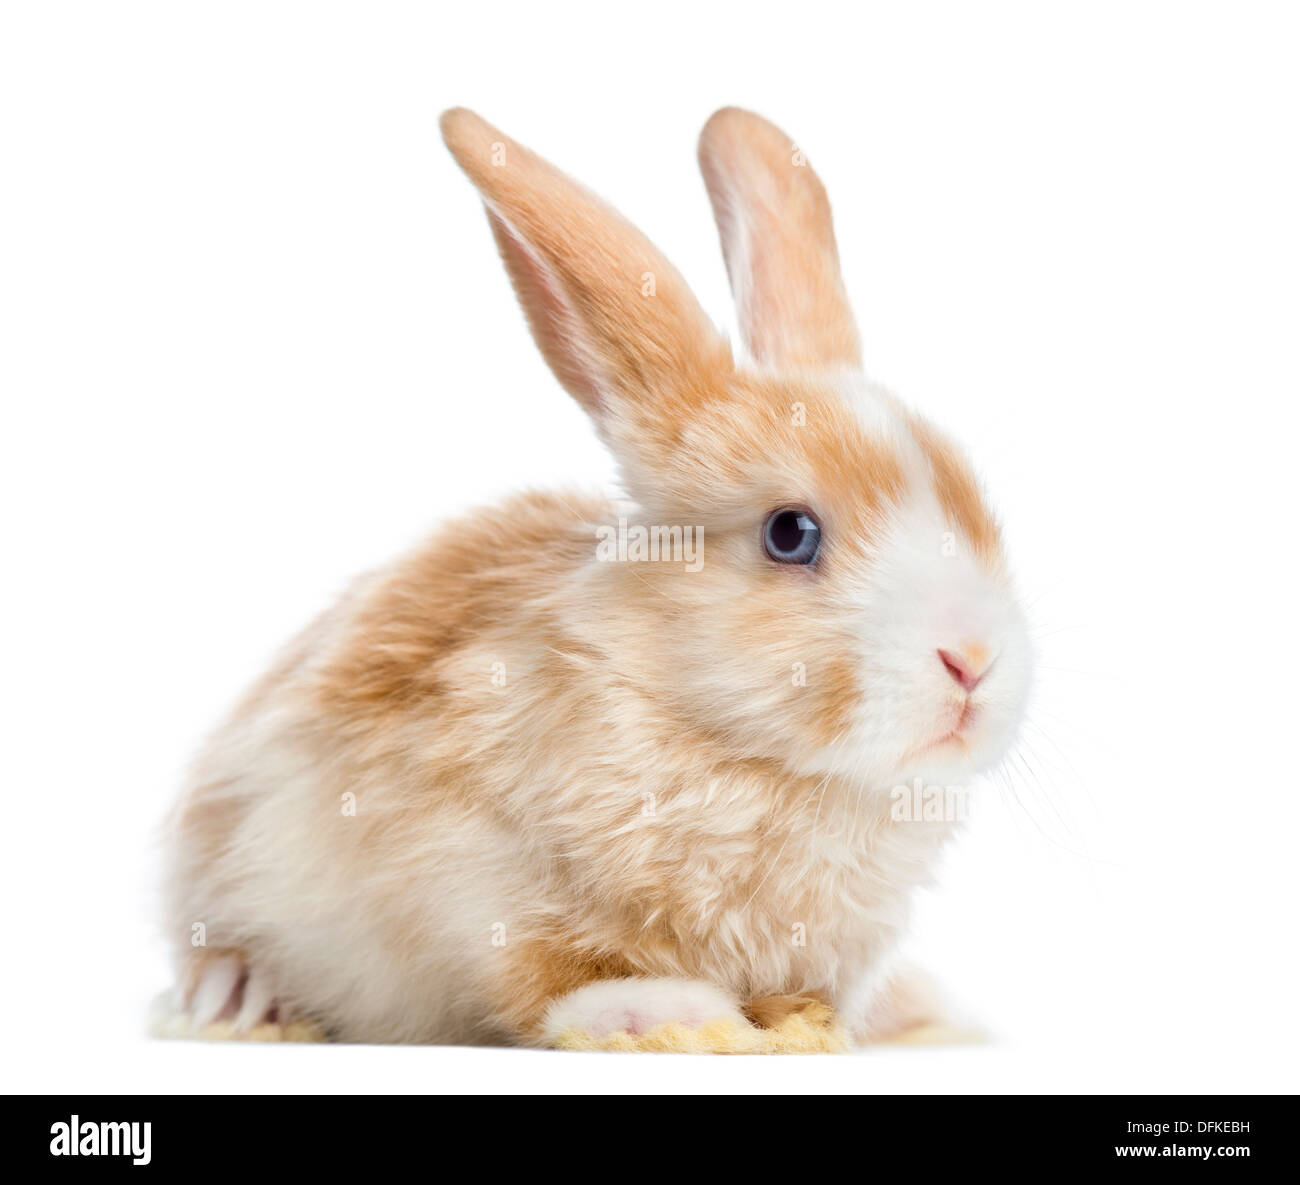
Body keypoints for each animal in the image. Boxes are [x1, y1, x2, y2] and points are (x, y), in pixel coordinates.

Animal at [160, 107, 1032, 1047]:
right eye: (790, 533)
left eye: (976, 508)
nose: (973, 660)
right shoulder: (465, 874)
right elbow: (547, 974)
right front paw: (669, 1013)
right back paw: (237, 995)